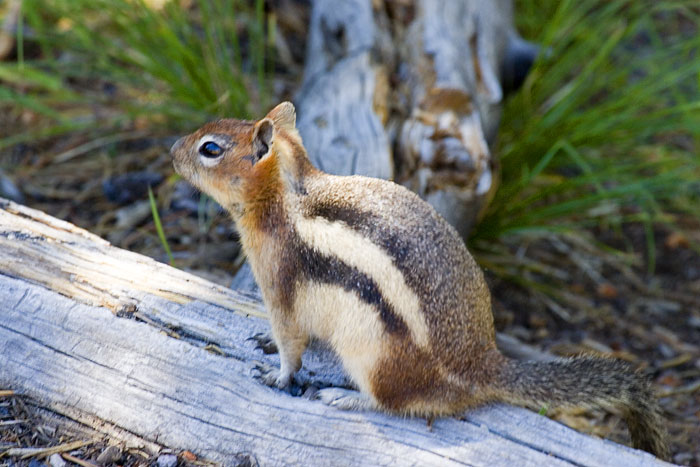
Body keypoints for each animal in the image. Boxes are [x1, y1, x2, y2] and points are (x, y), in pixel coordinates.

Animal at [170, 103, 668, 460]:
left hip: (374, 357)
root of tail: (482, 365)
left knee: (396, 403)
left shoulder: (279, 287)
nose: (173, 147)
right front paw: (266, 345)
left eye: (210, 149)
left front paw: (276, 375)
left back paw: (345, 398)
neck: (286, 198)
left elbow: (291, 345)